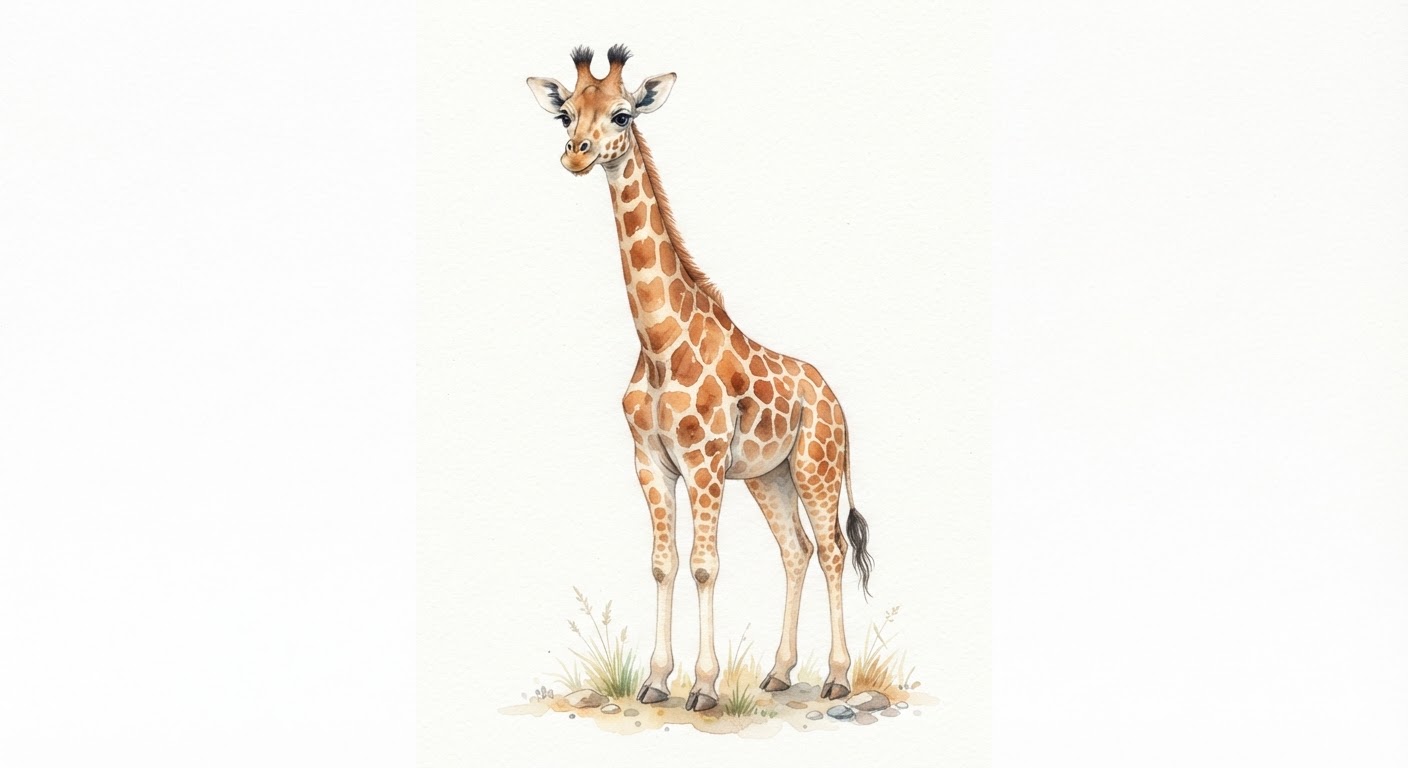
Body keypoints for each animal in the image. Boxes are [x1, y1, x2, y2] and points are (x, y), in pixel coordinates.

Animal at [527, 45, 874, 712]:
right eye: (565, 116)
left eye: (623, 114)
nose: (576, 154)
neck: (659, 344)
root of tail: (837, 402)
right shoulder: (651, 461)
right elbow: (663, 562)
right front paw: (656, 681)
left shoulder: (705, 461)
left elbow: (704, 564)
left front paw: (706, 686)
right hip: (770, 476)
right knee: (796, 551)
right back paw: (778, 673)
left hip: (816, 468)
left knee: (832, 551)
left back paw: (838, 677)